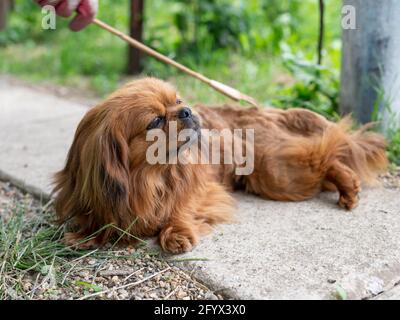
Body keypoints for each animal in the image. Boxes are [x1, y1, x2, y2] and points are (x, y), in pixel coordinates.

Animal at [54, 77, 388, 252]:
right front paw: (86, 235)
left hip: (277, 174)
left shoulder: (201, 189)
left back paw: (348, 187)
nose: (187, 110)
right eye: (156, 121)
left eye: (177, 101)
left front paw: (176, 232)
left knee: (328, 155)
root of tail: (265, 111)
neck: (148, 179)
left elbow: (180, 207)